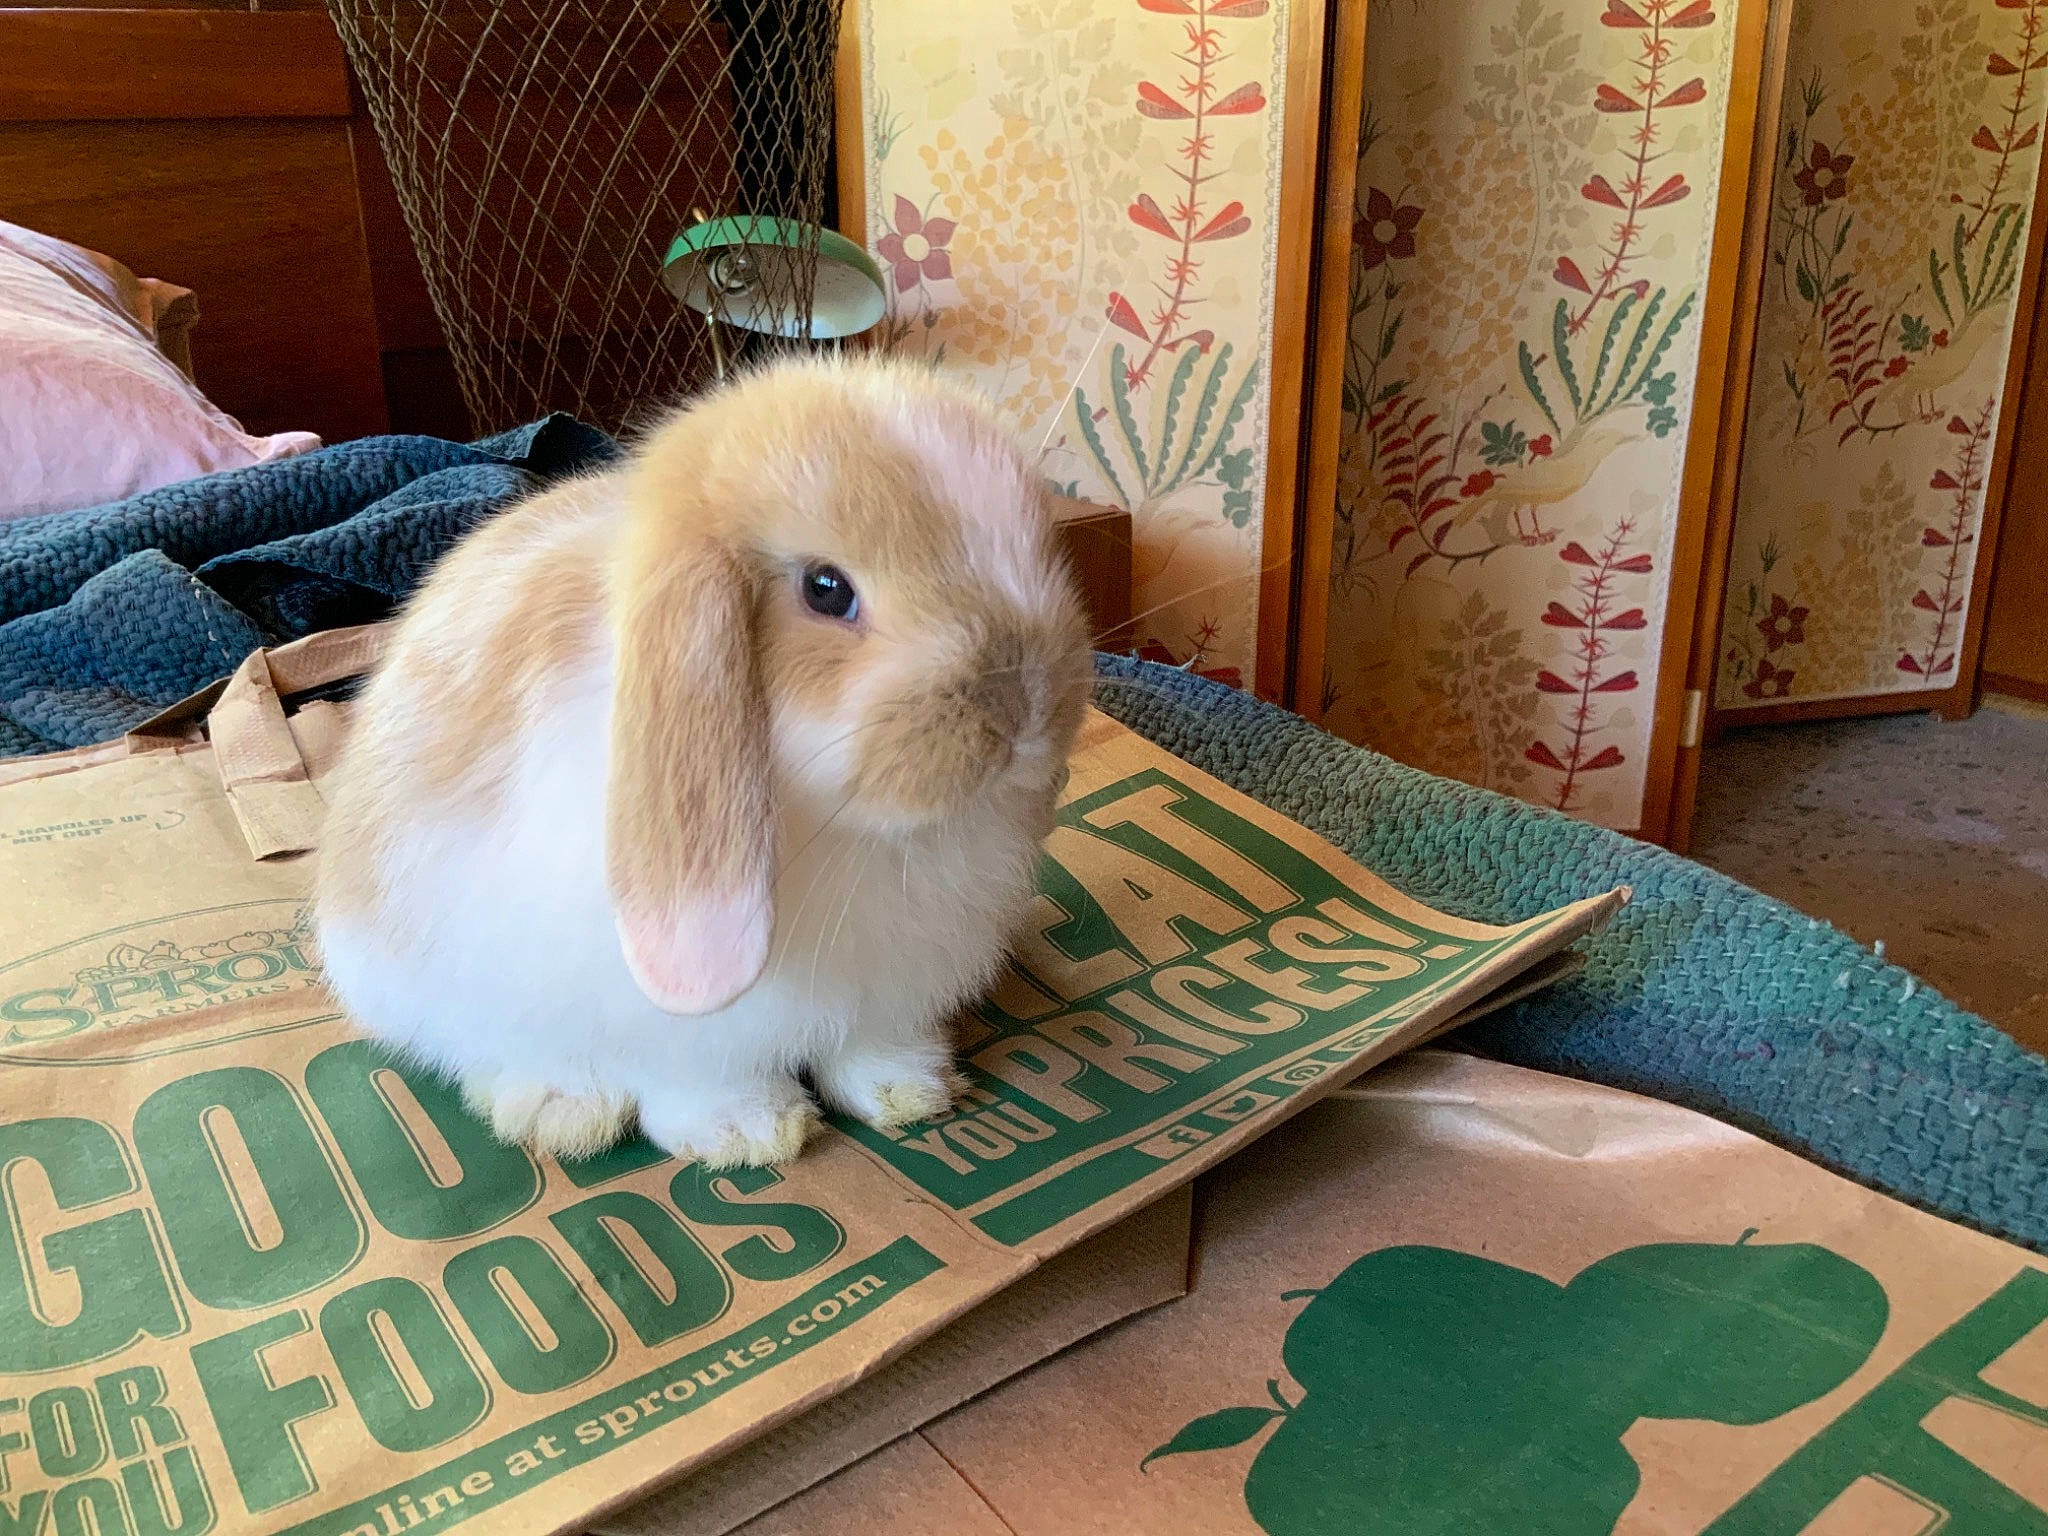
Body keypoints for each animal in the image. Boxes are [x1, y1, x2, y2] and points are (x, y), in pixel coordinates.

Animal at [313, 354, 1093, 1168]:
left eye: (1040, 546)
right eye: (826, 589)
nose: (1027, 709)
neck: (851, 833)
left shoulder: (891, 988)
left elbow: (872, 1044)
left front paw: (911, 1091)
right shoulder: (671, 1026)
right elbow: (698, 1075)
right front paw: (750, 1132)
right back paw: (562, 1110)